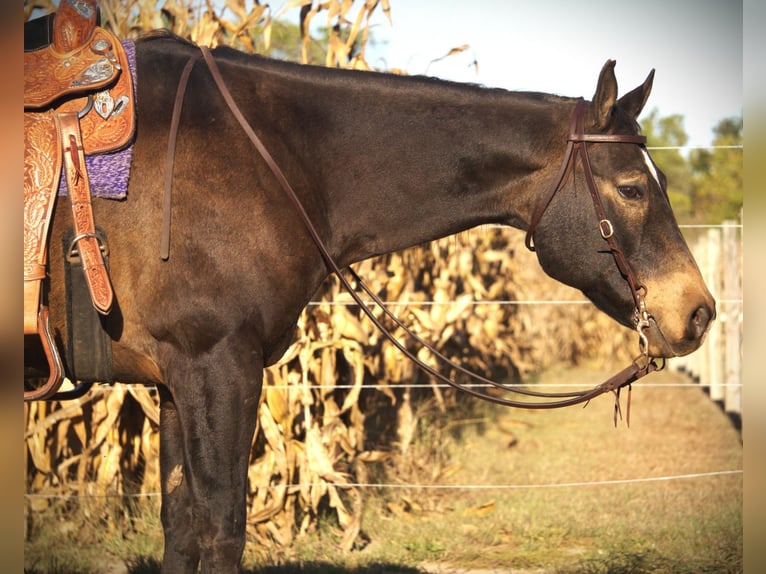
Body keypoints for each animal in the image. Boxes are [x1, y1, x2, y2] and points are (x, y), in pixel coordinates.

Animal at [29, 31, 714, 572]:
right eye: (632, 188)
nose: (699, 311)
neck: (268, 157)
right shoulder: (216, 367)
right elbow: (221, 530)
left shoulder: (174, 381)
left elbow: (181, 529)